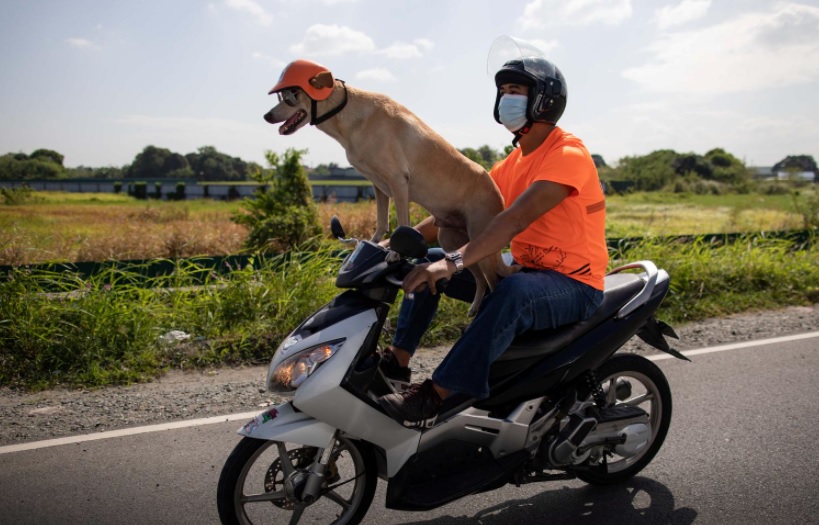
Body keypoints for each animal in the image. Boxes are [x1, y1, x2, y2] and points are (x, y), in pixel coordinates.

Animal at [266, 61, 516, 316]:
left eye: (291, 97)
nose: (267, 116)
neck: (351, 119)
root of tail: (498, 194)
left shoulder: (398, 181)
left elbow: (402, 223)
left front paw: (397, 253)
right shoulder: (379, 185)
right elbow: (382, 221)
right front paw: (376, 243)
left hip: (481, 241)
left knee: (493, 281)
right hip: (452, 241)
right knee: (477, 275)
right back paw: (474, 307)